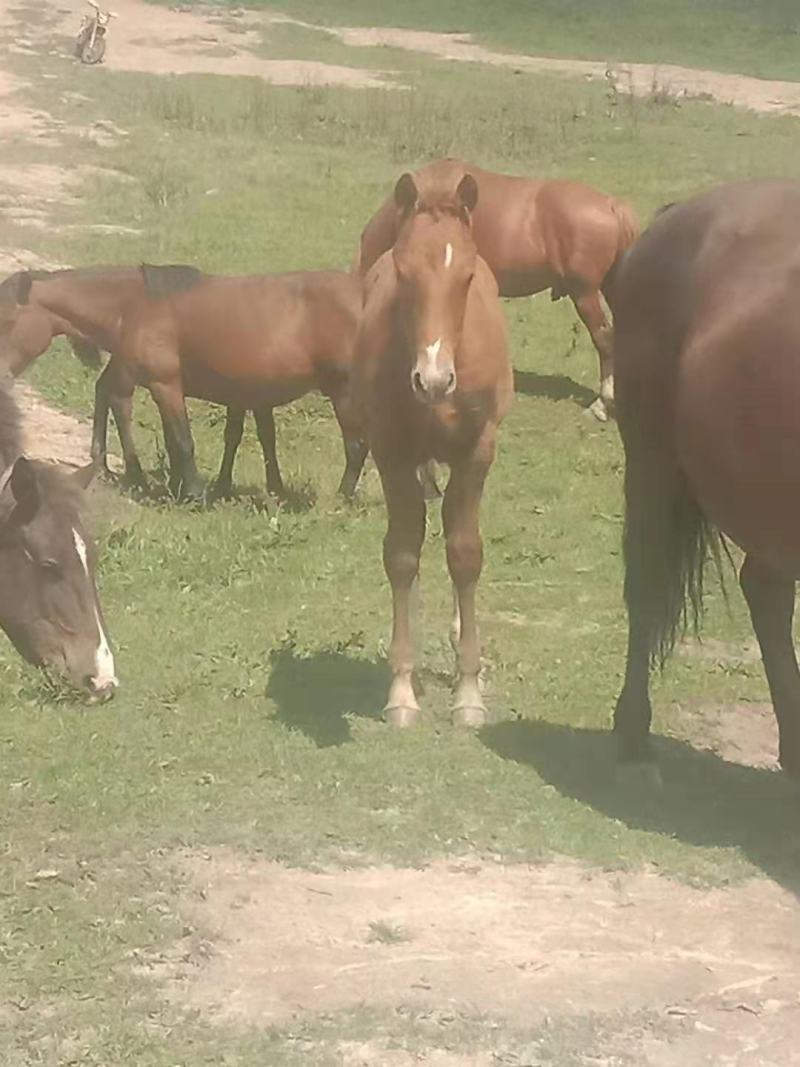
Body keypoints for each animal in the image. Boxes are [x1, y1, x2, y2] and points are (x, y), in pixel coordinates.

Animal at [100, 266, 367, 502]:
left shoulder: (165, 384)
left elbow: (183, 440)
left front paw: (194, 493)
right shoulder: (238, 394)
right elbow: (229, 438)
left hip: (345, 394)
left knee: (357, 446)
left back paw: (341, 497)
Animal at [353, 170, 512, 728]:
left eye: (465, 277)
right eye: (403, 273)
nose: (435, 379)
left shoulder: (477, 452)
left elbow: (465, 555)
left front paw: (469, 692)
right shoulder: (391, 452)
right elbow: (402, 556)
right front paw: (402, 690)